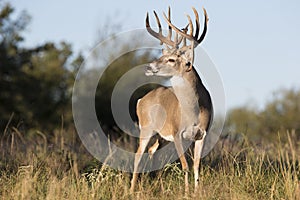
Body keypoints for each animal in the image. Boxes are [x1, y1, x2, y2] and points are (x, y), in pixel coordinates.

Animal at [130, 7, 212, 193]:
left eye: (172, 59)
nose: (148, 67)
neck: (193, 111)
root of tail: (140, 100)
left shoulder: (202, 134)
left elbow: (196, 165)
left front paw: (196, 192)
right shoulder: (177, 133)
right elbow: (185, 166)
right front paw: (187, 192)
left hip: (160, 136)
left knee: (152, 151)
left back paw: (156, 184)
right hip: (146, 128)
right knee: (138, 154)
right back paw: (131, 190)